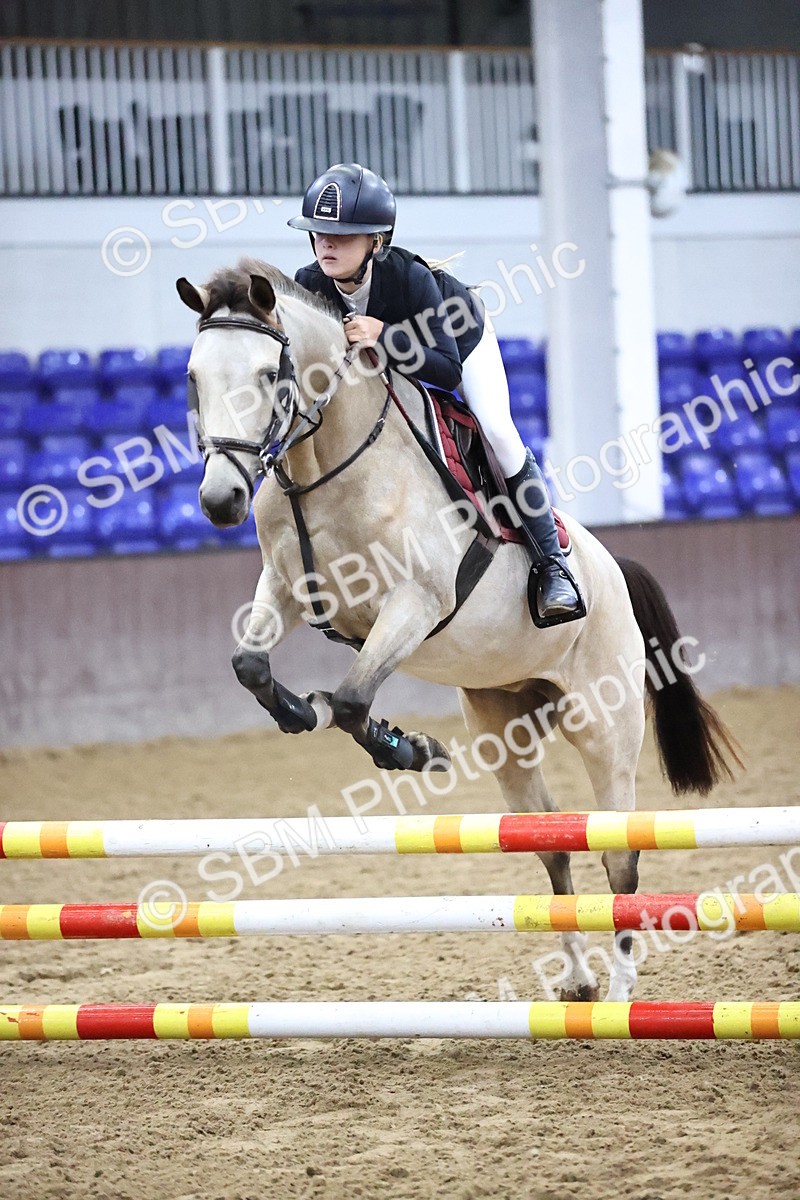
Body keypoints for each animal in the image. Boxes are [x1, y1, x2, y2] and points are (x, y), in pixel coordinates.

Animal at [176, 257, 742, 1003]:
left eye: (271, 375)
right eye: (193, 376)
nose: (221, 501)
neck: (330, 462)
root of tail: (611, 570)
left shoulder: (416, 603)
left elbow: (353, 700)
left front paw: (408, 749)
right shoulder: (287, 589)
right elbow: (253, 668)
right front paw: (310, 712)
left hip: (606, 726)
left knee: (620, 856)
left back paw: (620, 997)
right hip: (505, 725)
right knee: (551, 842)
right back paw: (578, 983)